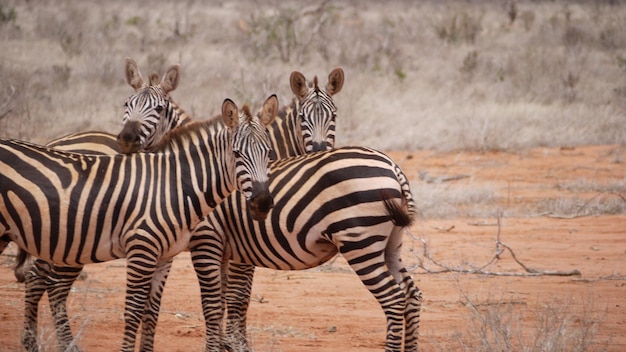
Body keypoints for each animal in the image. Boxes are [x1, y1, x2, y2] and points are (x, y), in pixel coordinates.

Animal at [1, 96, 276, 352]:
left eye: (269, 153)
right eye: (237, 154)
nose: (263, 203)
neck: (174, 186)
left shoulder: (164, 256)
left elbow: (151, 311)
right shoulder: (142, 248)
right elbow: (133, 310)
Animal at [195, 146, 420, 352]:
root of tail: (393, 167)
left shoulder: (207, 239)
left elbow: (224, 299)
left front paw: (228, 345)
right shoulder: (232, 248)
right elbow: (229, 297)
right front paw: (229, 344)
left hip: (360, 243)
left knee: (394, 299)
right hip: (392, 244)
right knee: (411, 294)